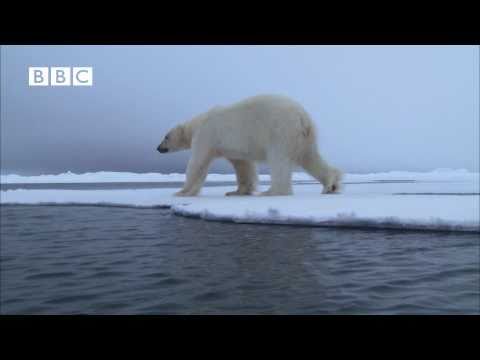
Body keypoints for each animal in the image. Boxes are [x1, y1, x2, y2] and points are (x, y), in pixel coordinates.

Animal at [158, 93, 342, 197]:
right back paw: (331, 185)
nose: (158, 148)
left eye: (166, 136)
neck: (198, 123)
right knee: (310, 157)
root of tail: (302, 117)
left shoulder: (206, 136)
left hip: (280, 131)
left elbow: (197, 163)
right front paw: (235, 192)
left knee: (279, 161)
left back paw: (271, 192)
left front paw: (181, 192)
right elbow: (243, 165)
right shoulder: (233, 147)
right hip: (303, 137)